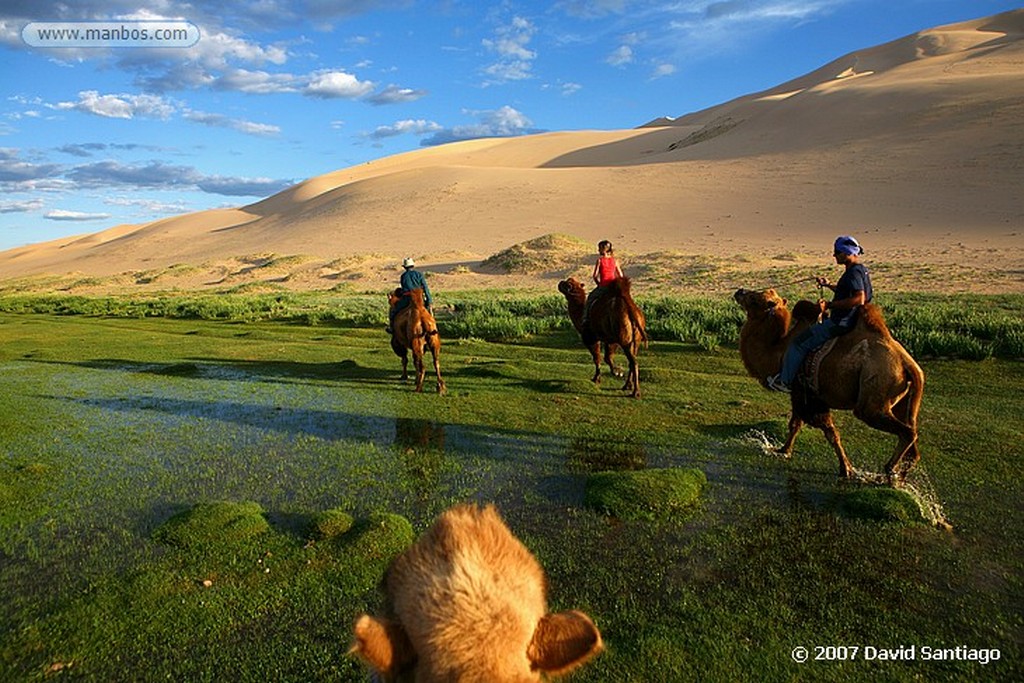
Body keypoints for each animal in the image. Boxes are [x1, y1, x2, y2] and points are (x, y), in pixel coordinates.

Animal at [733, 288, 925, 485]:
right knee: (912, 439)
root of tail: (907, 364)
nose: (739, 291)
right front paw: (783, 450)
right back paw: (899, 478)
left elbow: (827, 431)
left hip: (873, 397)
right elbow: (796, 424)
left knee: (905, 432)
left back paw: (888, 472)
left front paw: (846, 469)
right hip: (904, 400)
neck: (779, 351)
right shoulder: (802, 393)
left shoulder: (807, 394)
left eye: (754, 299)